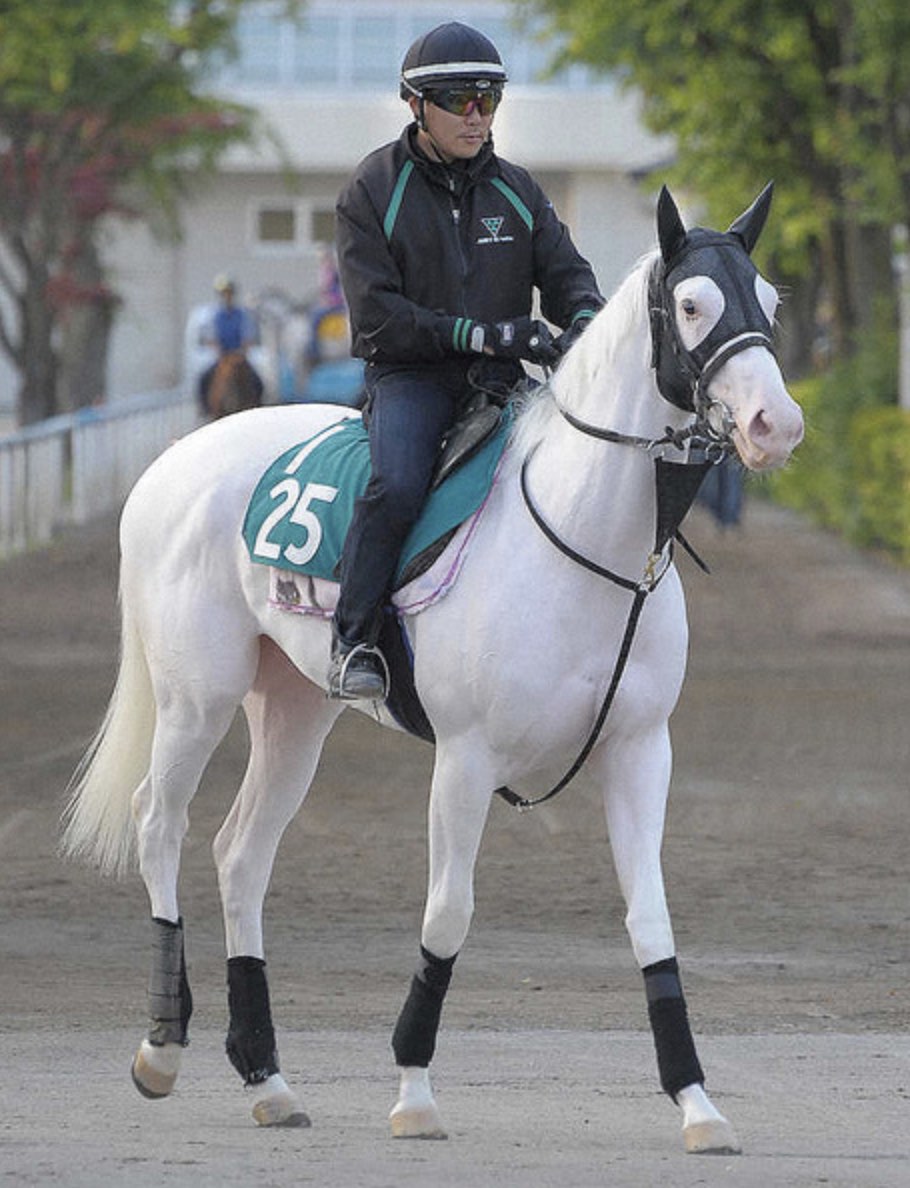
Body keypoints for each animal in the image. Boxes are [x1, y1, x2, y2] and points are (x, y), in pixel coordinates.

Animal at [61, 186, 803, 1154]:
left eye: (772, 302)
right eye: (689, 305)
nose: (775, 426)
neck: (584, 541)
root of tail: (168, 466)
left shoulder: (642, 753)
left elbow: (651, 919)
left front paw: (698, 1104)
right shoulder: (465, 760)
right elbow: (448, 913)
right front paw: (414, 1092)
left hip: (294, 712)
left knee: (241, 853)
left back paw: (268, 1079)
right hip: (197, 698)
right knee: (159, 823)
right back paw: (162, 1049)